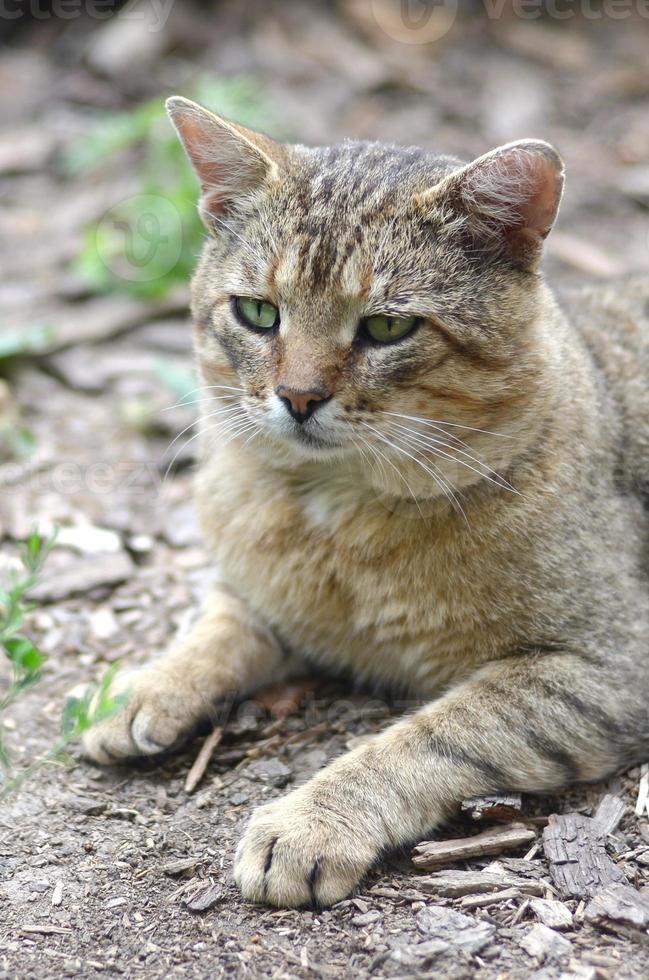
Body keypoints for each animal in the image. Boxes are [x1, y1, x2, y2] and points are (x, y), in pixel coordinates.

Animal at [83, 95, 648, 908]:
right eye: (258, 313)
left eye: (386, 326)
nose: (297, 396)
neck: (333, 515)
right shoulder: (255, 592)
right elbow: (215, 625)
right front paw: (141, 688)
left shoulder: (605, 666)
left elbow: (432, 736)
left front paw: (311, 822)